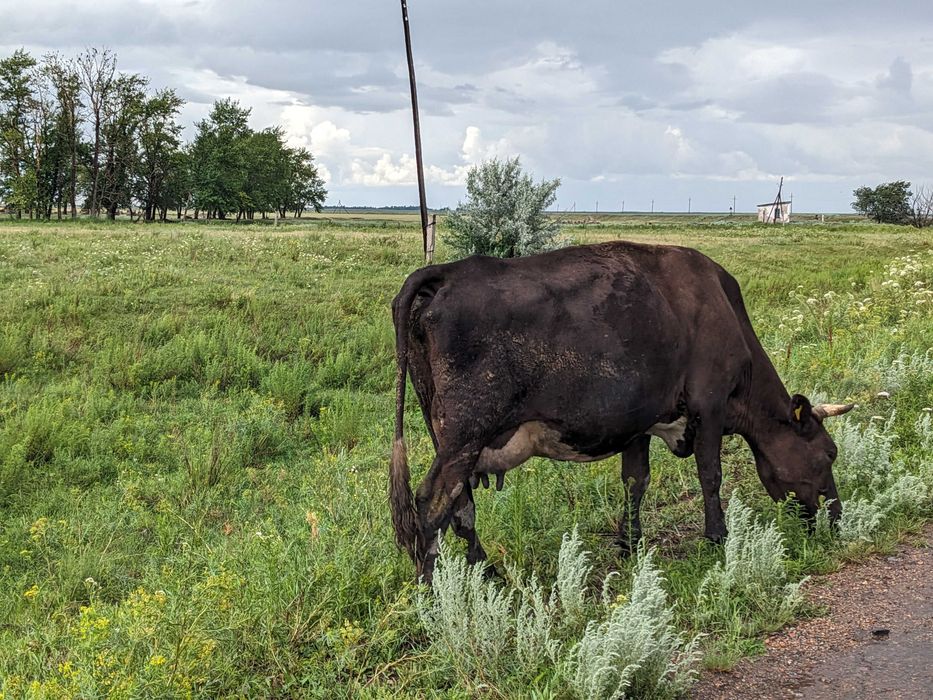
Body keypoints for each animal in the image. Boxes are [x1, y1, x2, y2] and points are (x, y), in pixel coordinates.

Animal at [389, 241, 853, 583]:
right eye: (828, 454)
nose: (836, 517)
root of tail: (446, 272)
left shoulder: (640, 420)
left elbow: (636, 480)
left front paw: (631, 543)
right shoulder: (710, 403)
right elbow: (710, 474)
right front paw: (717, 538)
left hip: (446, 432)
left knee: (460, 506)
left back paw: (488, 575)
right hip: (465, 433)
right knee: (432, 503)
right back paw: (432, 590)